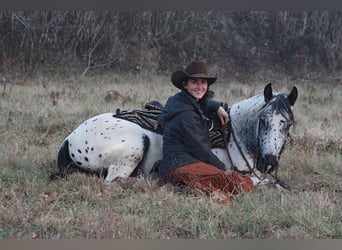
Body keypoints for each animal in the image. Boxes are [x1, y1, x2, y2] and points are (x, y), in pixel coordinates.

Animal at [55, 83, 296, 188]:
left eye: (287, 123)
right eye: (263, 120)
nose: (269, 161)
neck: (233, 137)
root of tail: (69, 140)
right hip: (134, 147)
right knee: (114, 180)